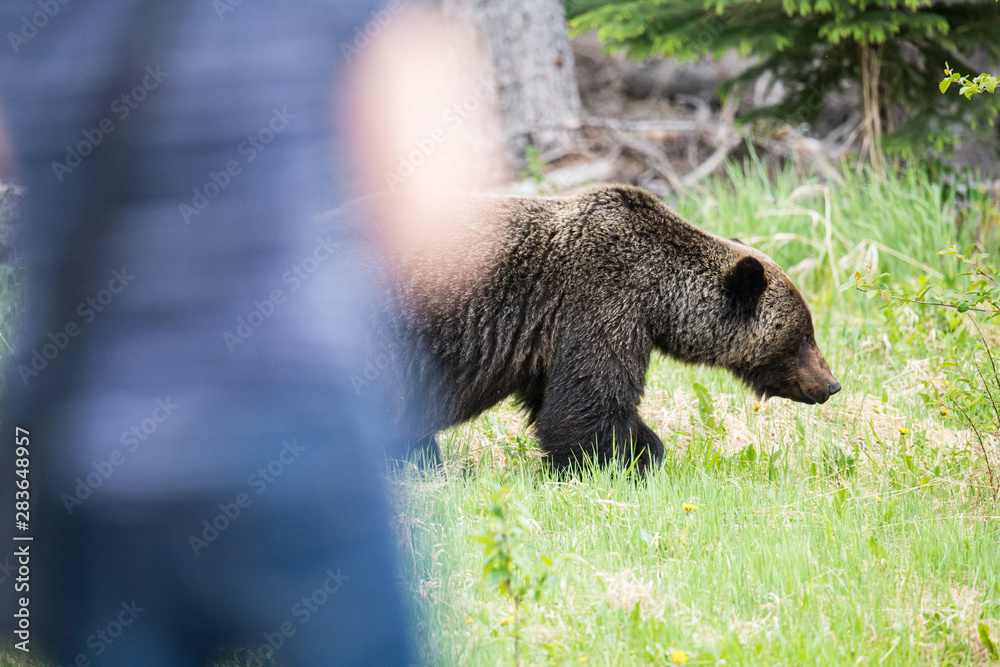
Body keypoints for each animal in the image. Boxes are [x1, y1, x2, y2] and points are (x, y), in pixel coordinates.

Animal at [357, 184, 840, 471]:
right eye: (803, 335)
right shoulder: (600, 301)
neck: (659, 294)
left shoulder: (547, 340)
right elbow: (589, 403)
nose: (832, 384)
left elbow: (560, 400)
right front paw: (637, 456)